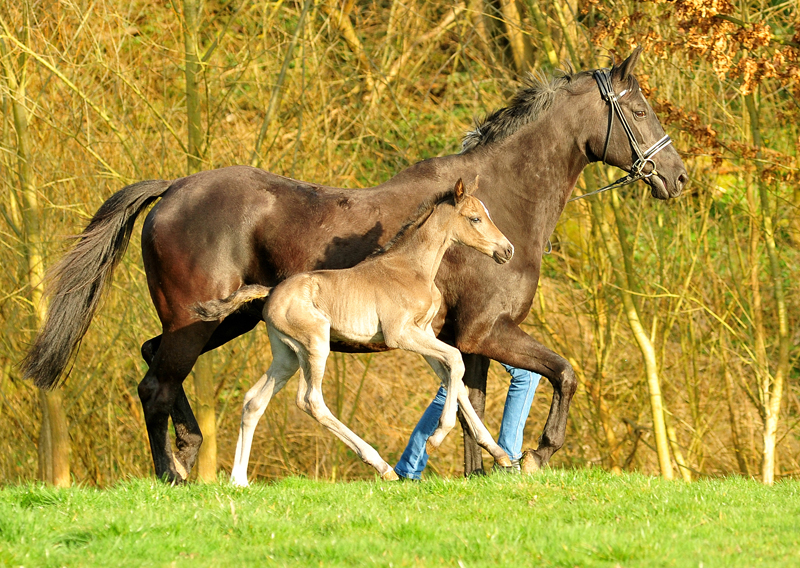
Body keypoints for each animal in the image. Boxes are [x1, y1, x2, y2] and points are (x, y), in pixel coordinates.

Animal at [23, 50, 688, 484]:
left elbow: (468, 397)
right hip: (200, 321)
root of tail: (173, 189)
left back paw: (188, 451)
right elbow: (563, 374)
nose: (678, 177)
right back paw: (174, 471)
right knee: (155, 383)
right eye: (638, 109)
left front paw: (484, 471)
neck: (503, 201)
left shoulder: (470, 338)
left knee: (153, 362)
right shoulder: (488, 331)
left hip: (222, 320)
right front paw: (538, 454)